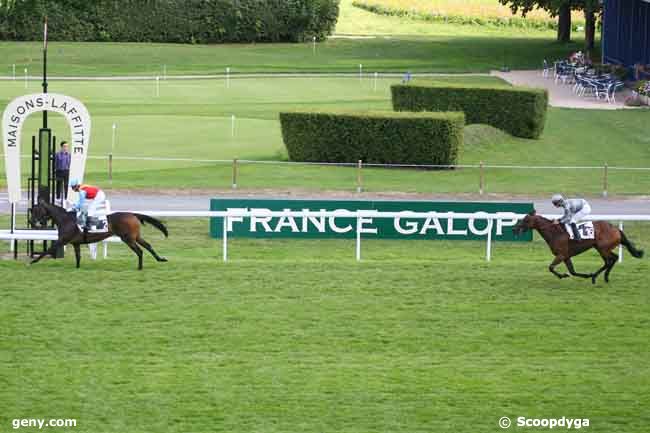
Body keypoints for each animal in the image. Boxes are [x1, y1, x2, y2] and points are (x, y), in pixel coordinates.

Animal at [30, 197, 168, 268]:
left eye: (36, 210)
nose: (32, 222)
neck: (66, 219)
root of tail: (133, 214)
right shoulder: (75, 243)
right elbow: (78, 256)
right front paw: (77, 267)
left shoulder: (62, 240)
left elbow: (48, 250)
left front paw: (33, 261)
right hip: (136, 236)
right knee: (148, 246)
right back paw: (160, 259)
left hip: (128, 238)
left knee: (139, 251)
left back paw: (139, 267)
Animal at [512, 210, 644, 284]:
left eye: (526, 220)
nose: (514, 229)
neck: (555, 233)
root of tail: (616, 228)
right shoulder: (566, 256)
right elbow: (572, 271)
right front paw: (583, 275)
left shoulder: (561, 255)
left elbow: (551, 267)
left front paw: (563, 275)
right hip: (600, 248)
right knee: (611, 260)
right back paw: (602, 277)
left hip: (603, 248)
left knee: (611, 260)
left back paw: (596, 277)